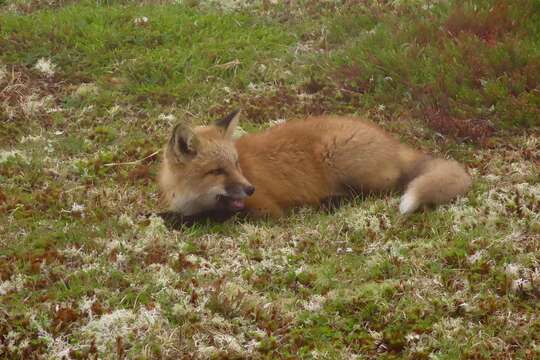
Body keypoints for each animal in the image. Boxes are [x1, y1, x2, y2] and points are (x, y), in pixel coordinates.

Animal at [158, 111, 470, 221]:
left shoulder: (266, 209)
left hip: (338, 157)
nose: (249, 188)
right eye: (217, 171)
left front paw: (174, 221)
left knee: (382, 191)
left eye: (236, 165)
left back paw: (329, 203)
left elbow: (213, 217)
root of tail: (394, 143)